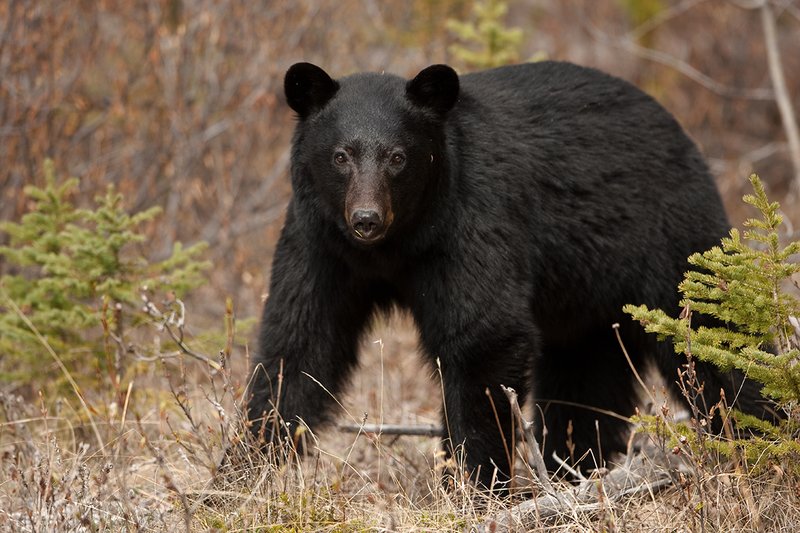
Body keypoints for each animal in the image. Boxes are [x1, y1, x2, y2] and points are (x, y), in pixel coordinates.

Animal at [247, 60, 770, 490]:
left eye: (398, 157)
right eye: (340, 156)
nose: (366, 219)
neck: (395, 247)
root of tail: (680, 133)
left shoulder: (471, 222)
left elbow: (484, 338)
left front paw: (473, 483)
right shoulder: (321, 243)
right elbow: (300, 341)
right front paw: (249, 463)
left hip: (671, 241)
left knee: (715, 340)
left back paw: (759, 442)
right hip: (585, 301)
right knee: (584, 382)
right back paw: (572, 468)